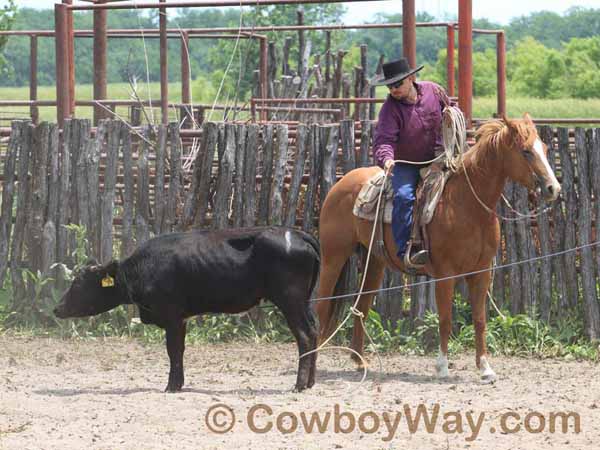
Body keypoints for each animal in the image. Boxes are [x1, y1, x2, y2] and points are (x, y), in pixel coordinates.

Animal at [316, 114, 560, 382]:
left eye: (544, 149)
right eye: (526, 151)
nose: (553, 188)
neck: (467, 205)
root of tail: (340, 184)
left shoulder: (482, 272)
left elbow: (480, 319)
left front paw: (485, 368)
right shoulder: (446, 273)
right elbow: (445, 319)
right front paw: (442, 366)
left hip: (374, 262)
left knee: (362, 306)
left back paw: (360, 362)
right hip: (333, 256)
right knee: (321, 304)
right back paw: (313, 358)